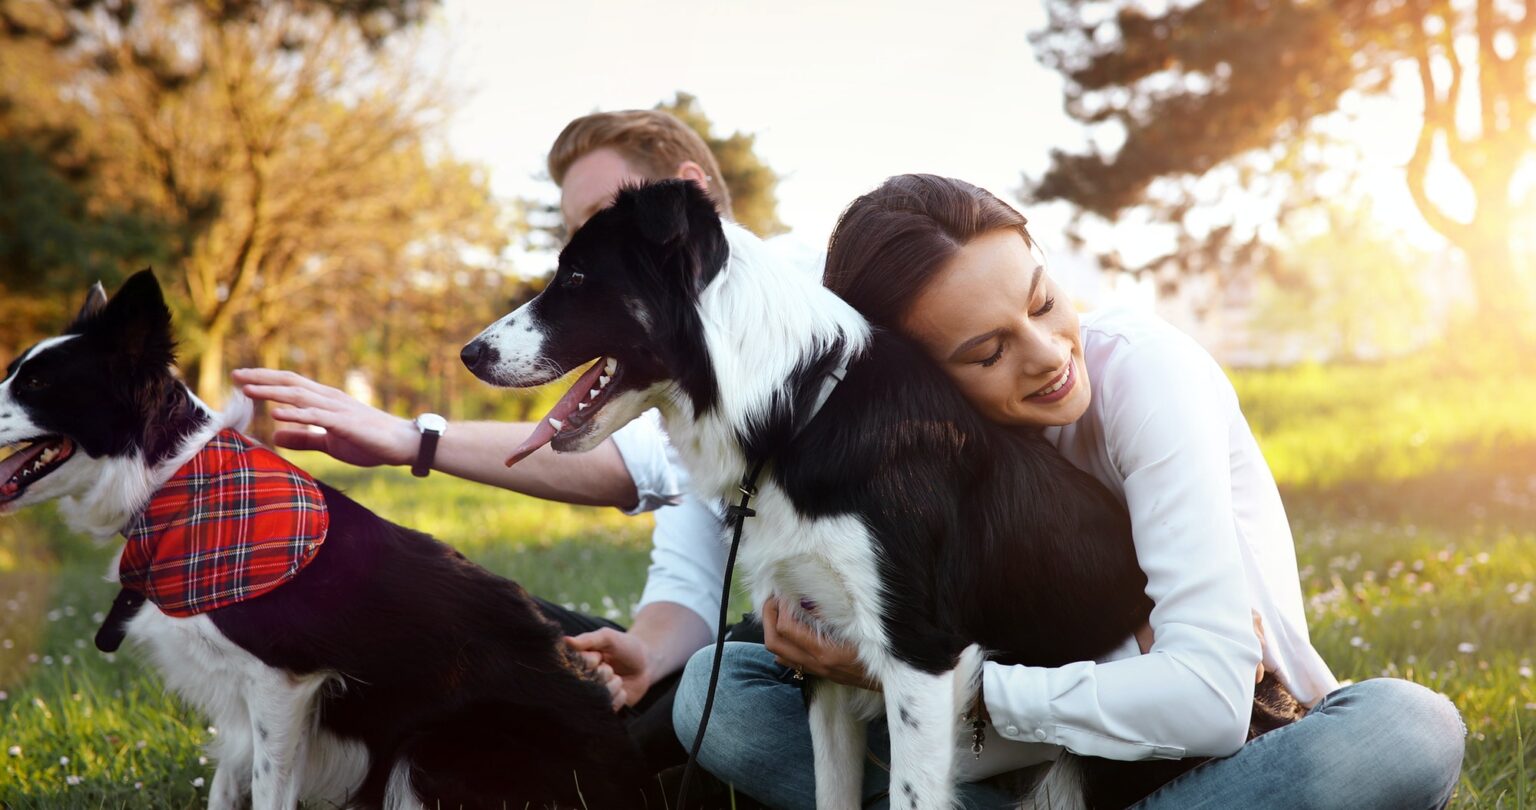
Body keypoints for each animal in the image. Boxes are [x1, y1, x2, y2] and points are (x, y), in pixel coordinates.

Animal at [0, 273, 645, 810]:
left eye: (36, 383)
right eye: (17, 371)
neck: (173, 483)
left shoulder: (282, 682)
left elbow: (267, 790)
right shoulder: (243, 702)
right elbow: (226, 785)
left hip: (427, 752)